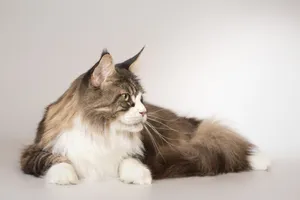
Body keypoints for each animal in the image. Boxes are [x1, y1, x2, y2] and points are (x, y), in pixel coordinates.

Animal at [19, 47, 270, 185]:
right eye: (126, 98)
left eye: (141, 98)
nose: (144, 111)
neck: (101, 130)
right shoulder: (33, 152)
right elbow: (58, 160)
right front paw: (64, 176)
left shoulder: (142, 150)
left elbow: (129, 160)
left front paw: (140, 175)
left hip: (182, 135)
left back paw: (259, 159)